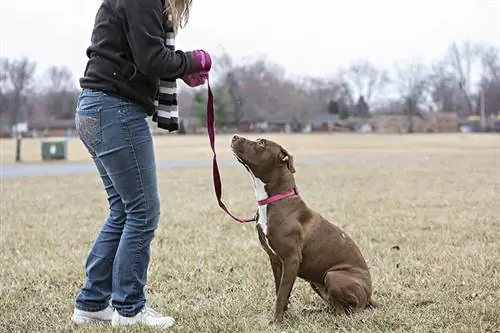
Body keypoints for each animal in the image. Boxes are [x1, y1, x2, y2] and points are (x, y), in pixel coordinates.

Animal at [231, 134, 376, 322]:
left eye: (261, 143)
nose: (234, 136)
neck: (277, 199)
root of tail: (370, 297)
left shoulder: (291, 260)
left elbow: (282, 294)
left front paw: (277, 322)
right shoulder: (276, 261)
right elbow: (280, 291)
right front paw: (284, 316)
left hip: (333, 275)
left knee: (352, 309)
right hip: (316, 282)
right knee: (334, 306)